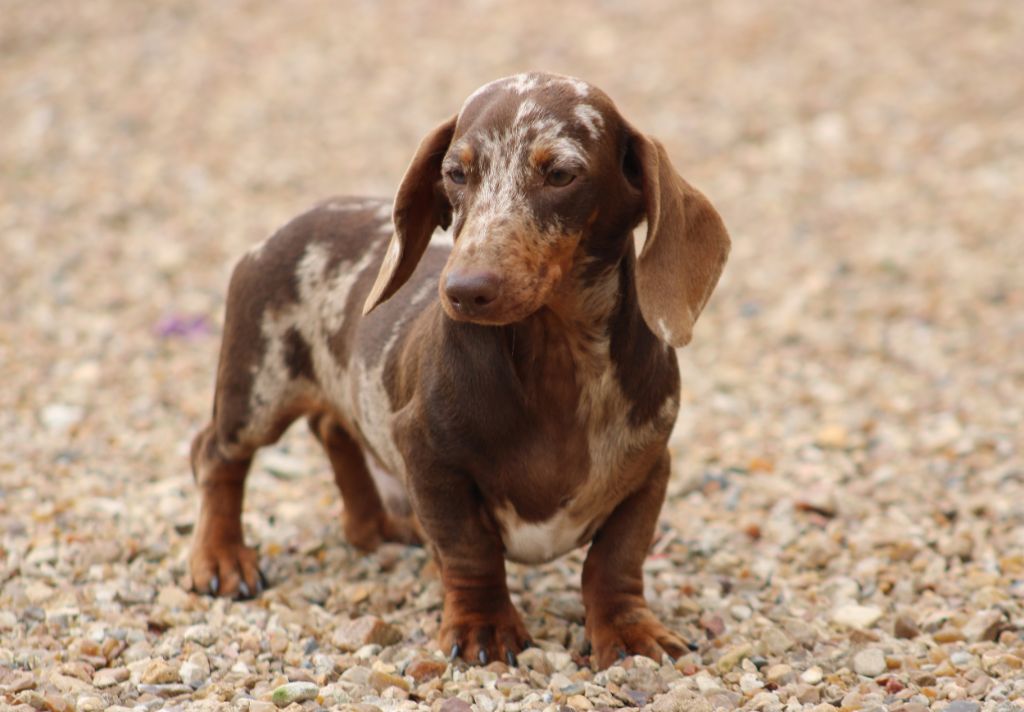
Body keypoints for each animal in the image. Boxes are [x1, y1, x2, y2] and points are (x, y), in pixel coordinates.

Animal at [188, 72, 733, 667]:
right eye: (455, 173)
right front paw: (484, 627)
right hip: (256, 392)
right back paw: (220, 558)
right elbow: (470, 551)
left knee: (333, 429)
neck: (562, 363)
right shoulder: (429, 457)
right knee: (216, 456)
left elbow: (616, 559)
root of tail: (286, 227)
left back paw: (373, 524)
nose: (464, 290)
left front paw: (628, 631)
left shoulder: (650, 469)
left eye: (560, 174)